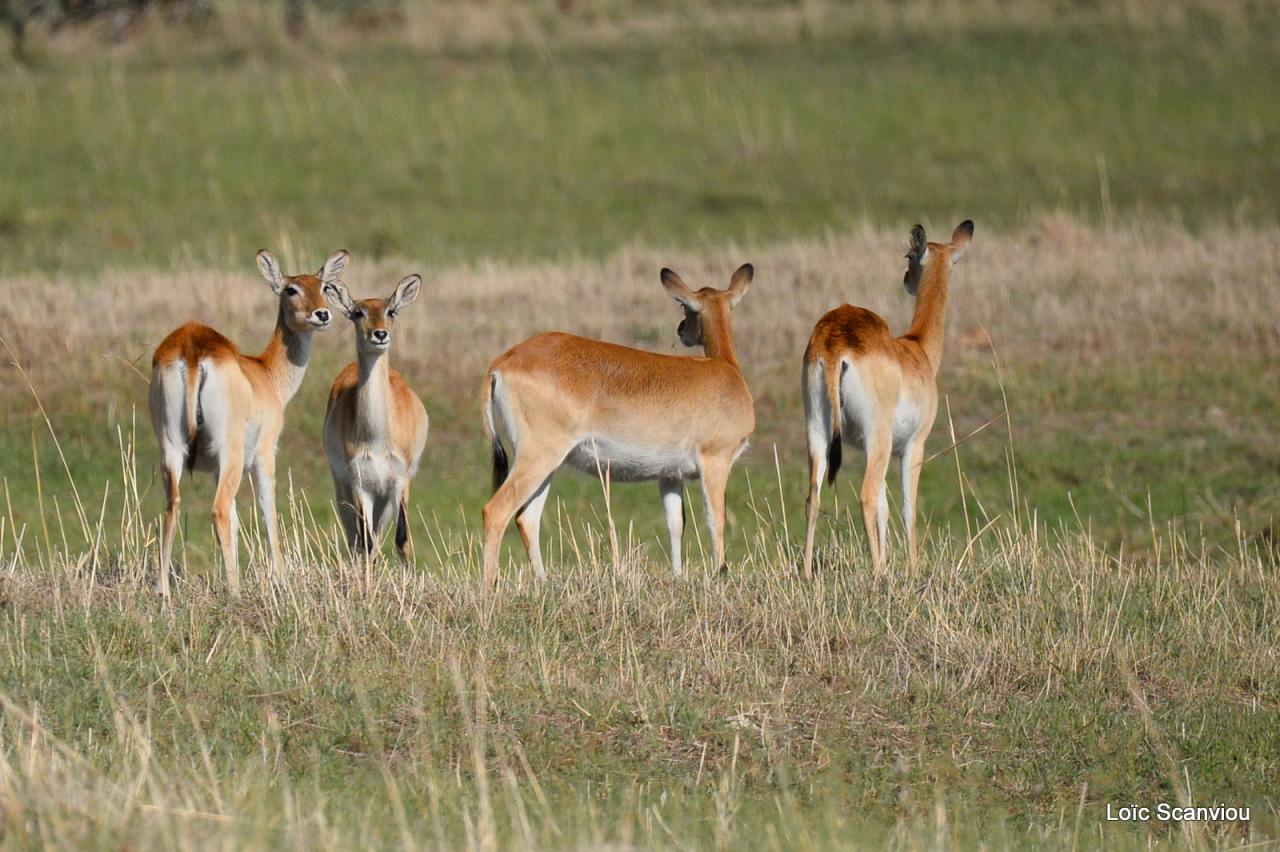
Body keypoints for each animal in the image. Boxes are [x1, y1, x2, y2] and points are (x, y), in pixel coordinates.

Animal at [148, 249, 350, 593]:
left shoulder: (217, 468)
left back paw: (163, 592)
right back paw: (234, 591)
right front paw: (280, 579)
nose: (322, 314)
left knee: (173, 505)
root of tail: (192, 348)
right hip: (230, 453)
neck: (264, 373)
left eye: (323, 286)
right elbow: (268, 510)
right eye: (291, 289)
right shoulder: (264, 455)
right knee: (218, 510)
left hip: (171, 447)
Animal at [325, 275, 430, 560]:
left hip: (385, 500)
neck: (377, 440)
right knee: (356, 539)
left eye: (390, 311)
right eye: (358, 313)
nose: (380, 334)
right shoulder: (361, 486)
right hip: (344, 489)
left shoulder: (399, 482)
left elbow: (401, 541)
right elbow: (366, 541)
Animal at [481, 262, 757, 588]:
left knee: (526, 518)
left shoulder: (669, 475)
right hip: (537, 458)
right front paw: (720, 573)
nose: (681, 329)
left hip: (545, 465)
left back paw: (543, 581)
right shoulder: (716, 462)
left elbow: (676, 523)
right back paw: (489, 587)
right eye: (684, 305)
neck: (725, 369)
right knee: (495, 511)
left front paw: (678, 576)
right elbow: (716, 518)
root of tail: (503, 362)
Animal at [798, 218, 977, 578]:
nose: (906, 280)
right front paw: (912, 569)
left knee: (814, 497)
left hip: (818, 433)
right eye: (908, 254)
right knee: (866, 497)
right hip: (876, 438)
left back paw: (809, 573)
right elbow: (907, 508)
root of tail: (835, 346)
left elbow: (884, 507)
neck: (917, 349)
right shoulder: (912, 446)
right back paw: (877, 575)